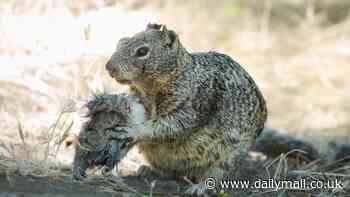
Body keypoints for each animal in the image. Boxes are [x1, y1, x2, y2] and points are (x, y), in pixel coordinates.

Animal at [104, 23, 268, 194]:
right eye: (121, 42)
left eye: (142, 51)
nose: (109, 67)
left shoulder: (193, 106)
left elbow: (168, 126)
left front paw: (133, 129)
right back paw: (149, 171)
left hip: (228, 156)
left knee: (217, 175)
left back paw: (200, 187)